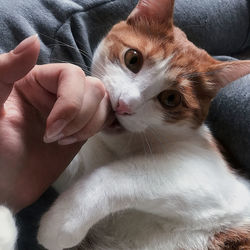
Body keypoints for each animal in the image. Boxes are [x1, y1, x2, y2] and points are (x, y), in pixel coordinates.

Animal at [2, 0, 250, 249]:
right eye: (133, 59)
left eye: (171, 99)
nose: (124, 104)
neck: (124, 147)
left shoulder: (212, 182)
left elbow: (124, 174)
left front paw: (62, 222)